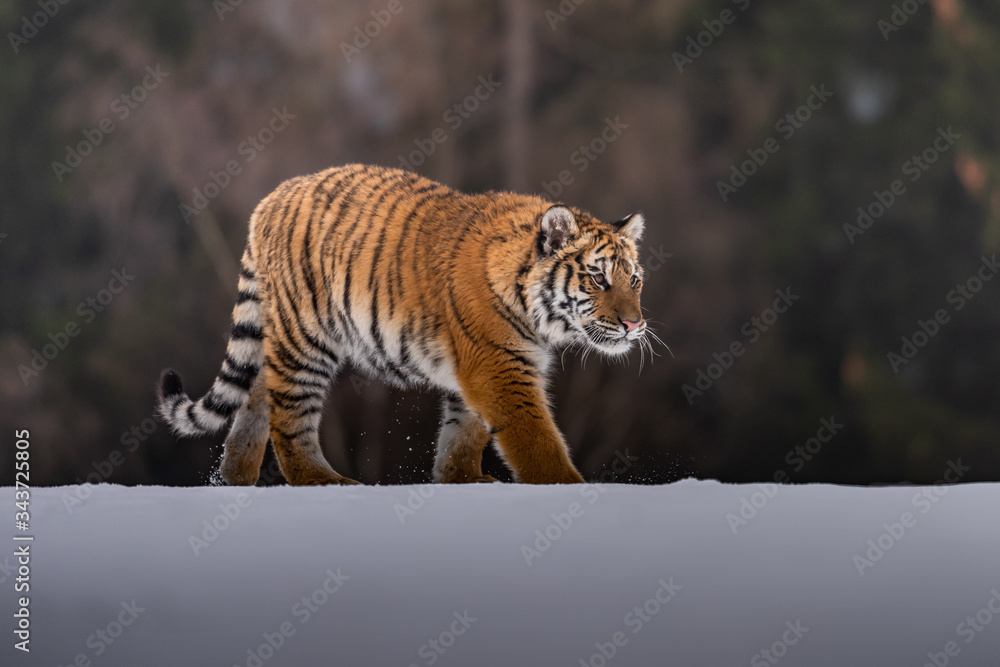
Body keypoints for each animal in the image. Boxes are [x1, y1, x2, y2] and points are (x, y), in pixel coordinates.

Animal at [158, 163, 653, 485]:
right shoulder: (499, 366)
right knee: (289, 414)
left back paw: (235, 481)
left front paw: (462, 481)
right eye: (598, 278)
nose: (634, 326)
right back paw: (322, 481)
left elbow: (463, 432)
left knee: (258, 396)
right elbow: (536, 440)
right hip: (305, 337)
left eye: (634, 280)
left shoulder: (478, 368)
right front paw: (568, 488)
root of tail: (271, 199)